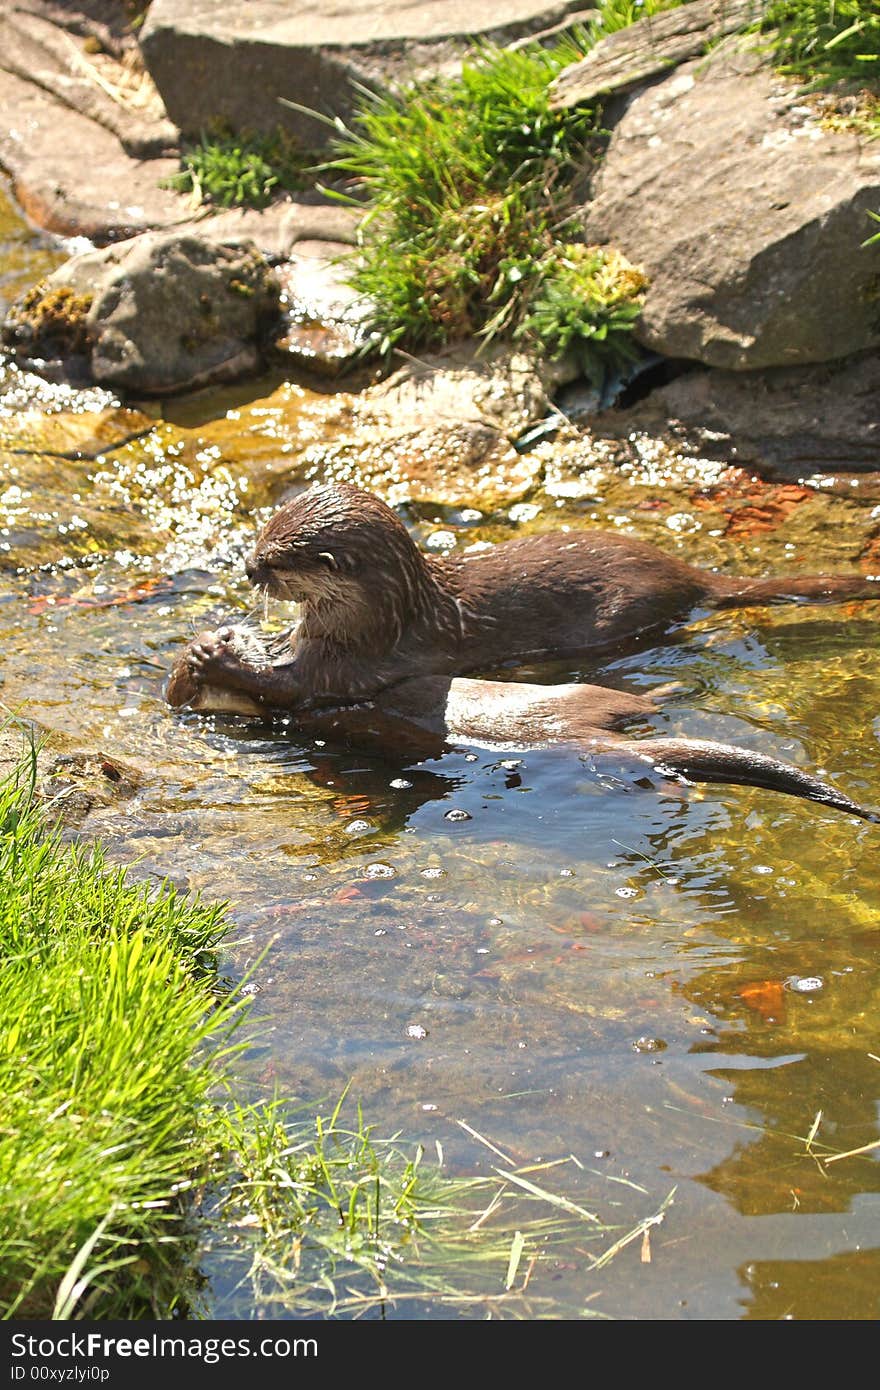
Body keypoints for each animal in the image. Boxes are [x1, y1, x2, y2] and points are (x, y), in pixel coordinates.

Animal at [180, 483, 878, 711]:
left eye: (278, 558)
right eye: (261, 532)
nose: (247, 567)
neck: (385, 618)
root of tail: (685, 573)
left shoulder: (358, 664)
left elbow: (293, 687)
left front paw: (216, 660)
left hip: (622, 611)